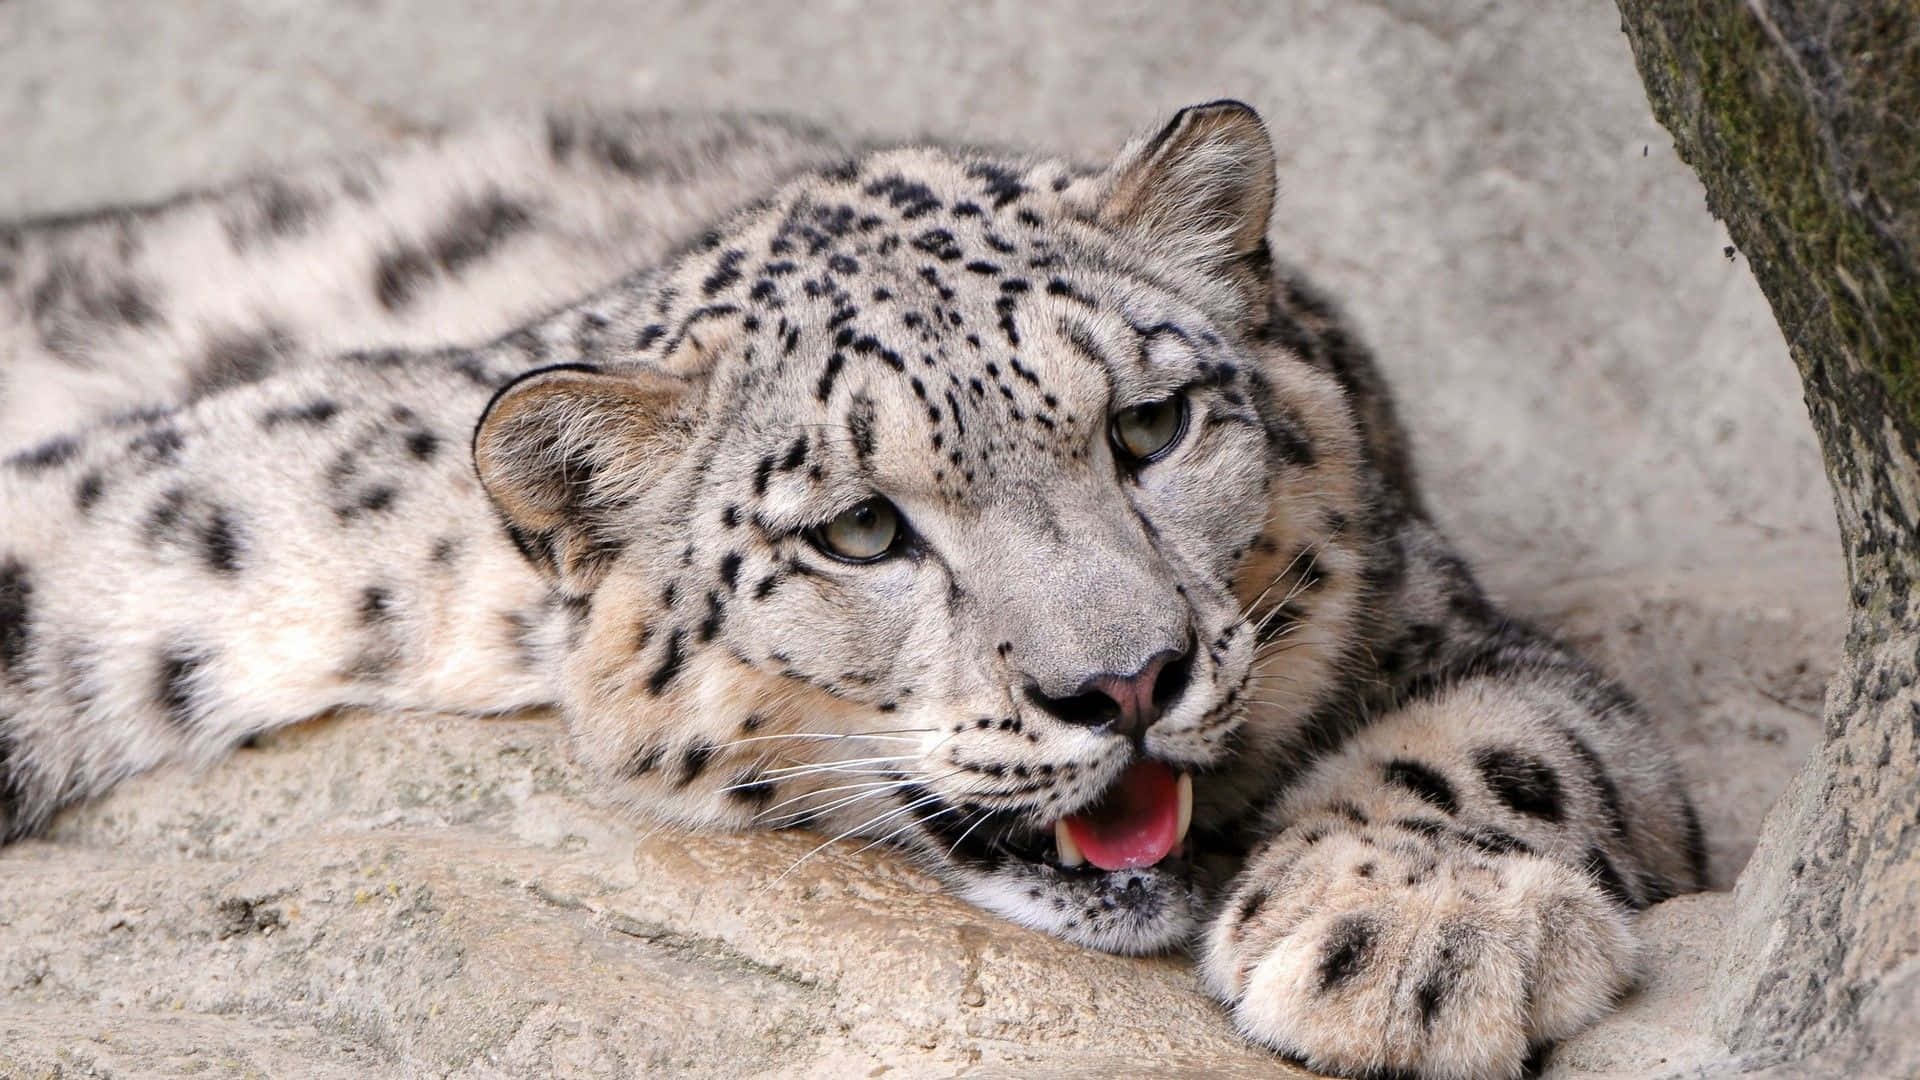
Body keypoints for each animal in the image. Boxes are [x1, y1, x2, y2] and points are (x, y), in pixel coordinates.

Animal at [0, 101, 1708, 1079]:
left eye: (1150, 427)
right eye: (864, 532)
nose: (1125, 681)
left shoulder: (1437, 607)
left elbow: (1524, 735)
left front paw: (1413, 925)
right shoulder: (205, 516)